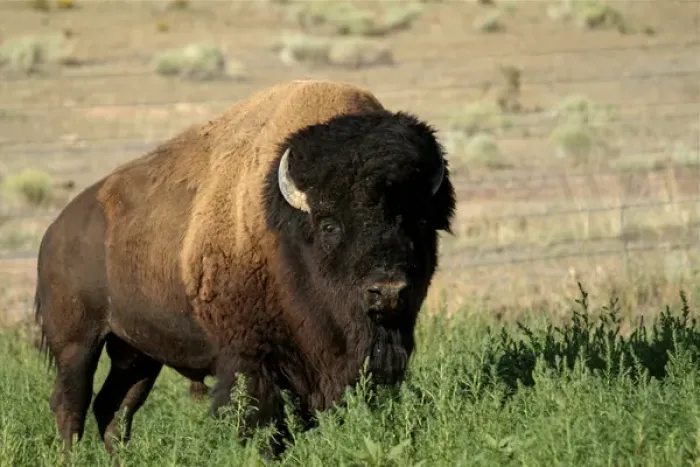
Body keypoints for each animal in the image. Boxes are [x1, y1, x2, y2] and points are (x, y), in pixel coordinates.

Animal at [34, 79, 456, 457]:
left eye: (417, 220)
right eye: (329, 225)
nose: (387, 292)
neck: (284, 230)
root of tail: (54, 232)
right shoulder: (251, 360)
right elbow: (260, 419)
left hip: (136, 353)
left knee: (115, 409)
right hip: (78, 343)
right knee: (71, 404)